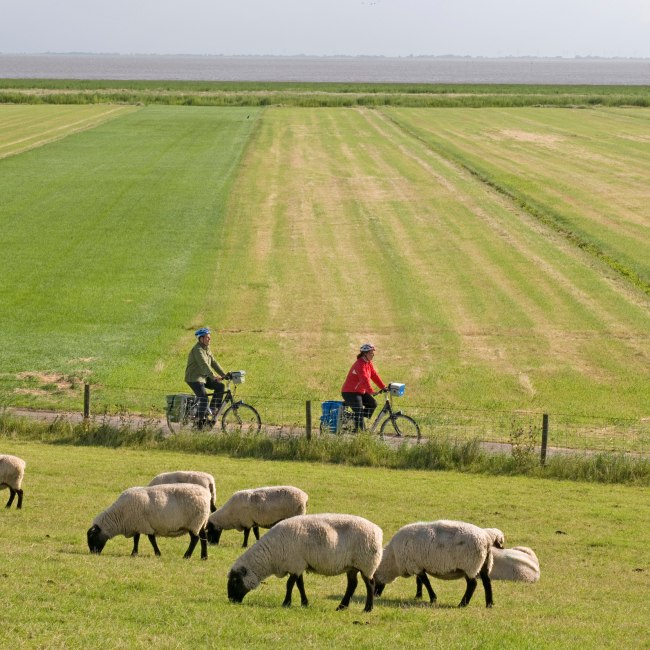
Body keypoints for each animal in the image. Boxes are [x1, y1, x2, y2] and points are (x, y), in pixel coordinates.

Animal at [227, 508, 382, 612]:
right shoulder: (299, 564)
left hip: (367, 563)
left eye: (235, 581)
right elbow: (299, 585)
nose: (231, 600)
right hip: (352, 566)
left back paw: (368, 608)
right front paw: (304, 603)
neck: (271, 555)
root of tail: (378, 530)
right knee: (352, 585)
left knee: (370, 585)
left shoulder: (295, 563)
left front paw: (286, 603)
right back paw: (341, 607)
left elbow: (290, 585)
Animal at [372, 520, 504, 604]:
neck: (393, 559)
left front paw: (433, 599)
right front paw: (418, 596)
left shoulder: (415, 565)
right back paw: (489, 604)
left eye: (373, 578)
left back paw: (462, 604)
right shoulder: (418, 564)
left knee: (472, 584)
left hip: (470, 564)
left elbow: (425, 582)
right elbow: (419, 581)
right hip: (484, 563)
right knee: (487, 582)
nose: (375, 595)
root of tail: (487, 538)